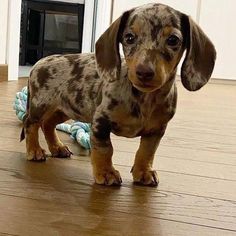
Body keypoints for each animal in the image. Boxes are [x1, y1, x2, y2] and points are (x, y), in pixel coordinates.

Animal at [21, 3, 216, 186]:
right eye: (129, 37)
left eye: (173, 40)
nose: (144, 72)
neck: (145, 99)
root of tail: (39, 63)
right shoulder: (100, 122)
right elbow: (105, 149)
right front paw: (106, 173)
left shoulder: (156, 130)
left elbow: (147, 151)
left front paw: (143, 172)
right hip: (40, 105)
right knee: (31, 123)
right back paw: (34, 150)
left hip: (65, 109)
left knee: (47, 124)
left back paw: (57, 147)